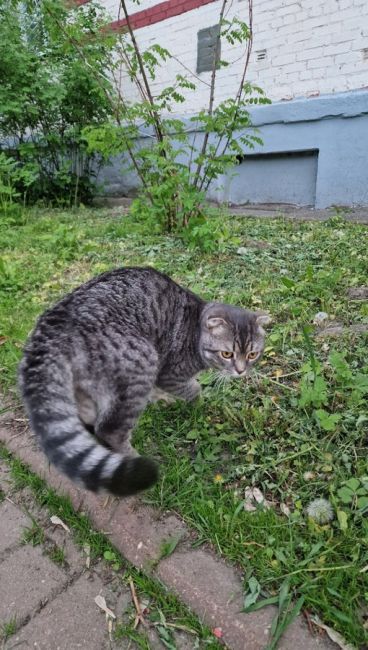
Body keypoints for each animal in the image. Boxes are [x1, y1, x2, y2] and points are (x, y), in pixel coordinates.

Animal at [18, 266, 270, 494]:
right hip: (142, 362)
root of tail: (53, 326)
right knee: (109, 429)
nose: (241, 371)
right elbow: (194, 388)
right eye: (227, 354)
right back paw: (132, 460)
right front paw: (197, 404)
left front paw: (160, 398)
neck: (195, 330)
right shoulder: (170, 373)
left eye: (252, 354)